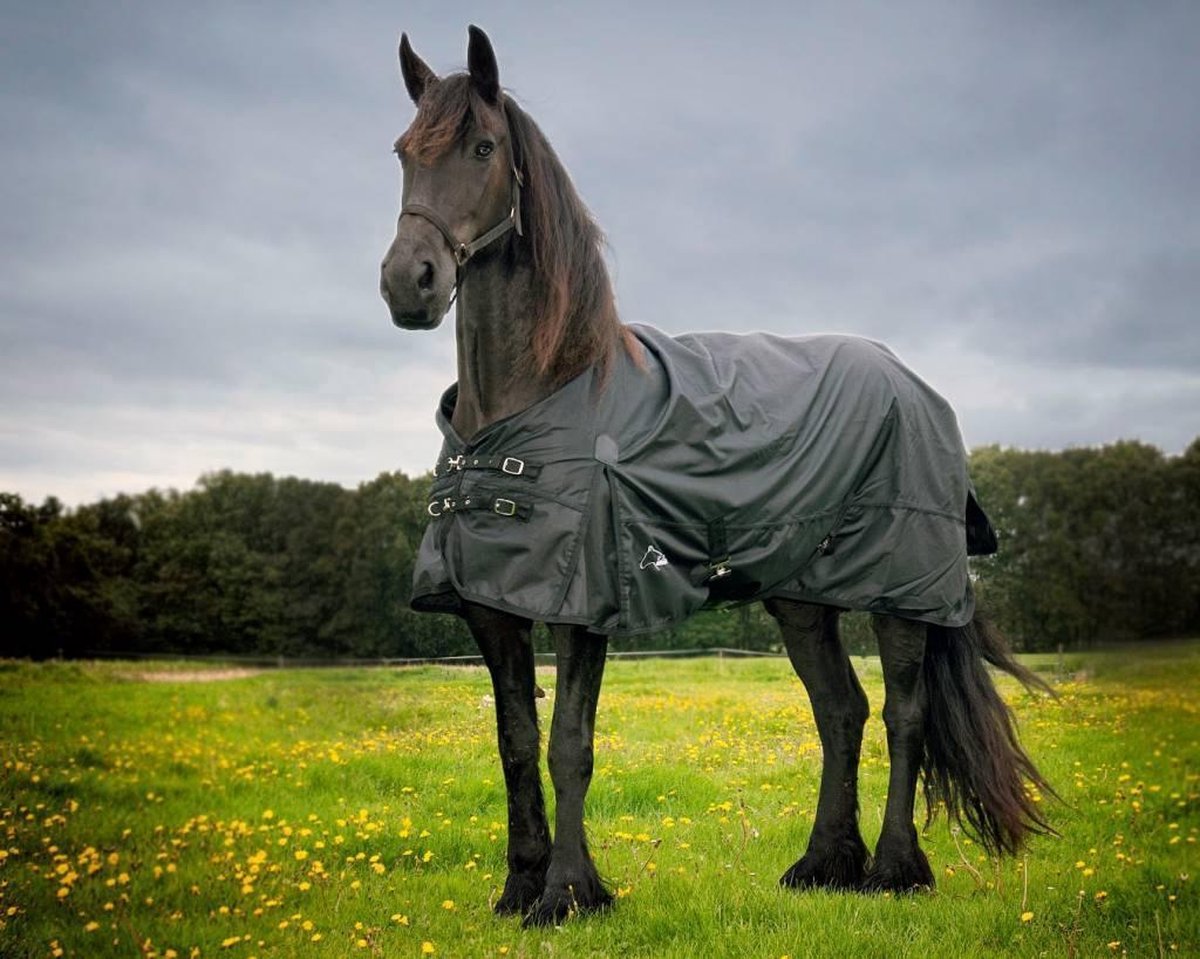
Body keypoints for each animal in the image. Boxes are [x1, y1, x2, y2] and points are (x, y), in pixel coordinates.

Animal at [379, 25, 1053, 928]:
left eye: (483, 148)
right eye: (404, 152)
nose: (407, 283)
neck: (539, 392)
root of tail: (914, 384)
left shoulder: (584, 601)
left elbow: (568, 744)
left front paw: (569, 893)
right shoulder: (490, 602)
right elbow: (515, 741)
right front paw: (518, 886)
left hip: (903, 588)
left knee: (903, 712)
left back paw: (892, 870)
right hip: (801, 596)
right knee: (841, 710)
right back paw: (823, 865)